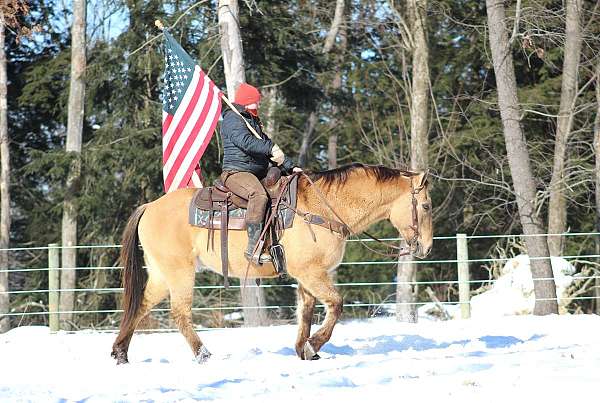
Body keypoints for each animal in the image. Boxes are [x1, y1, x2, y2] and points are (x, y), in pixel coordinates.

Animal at [111, 163, 432, 364]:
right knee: (179, 313)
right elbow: (336, 304)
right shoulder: (311, 273)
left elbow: (306, 311)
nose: (427, 247)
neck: (324, 207)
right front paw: (313, 345)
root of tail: (149, 206)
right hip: (180, 272)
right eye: (426, 205)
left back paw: (121, 353)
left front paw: (303, 349)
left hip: (161, 274)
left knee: (140, 306)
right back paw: (203, 354)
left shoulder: (308, 276)